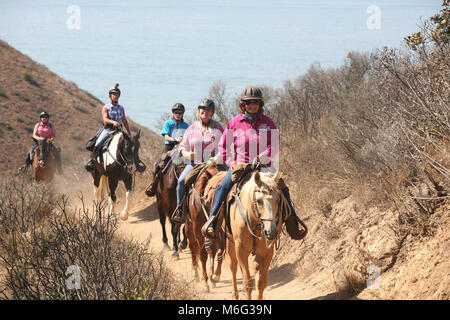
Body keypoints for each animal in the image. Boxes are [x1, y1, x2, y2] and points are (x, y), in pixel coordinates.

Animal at [227, 170, 286, 300]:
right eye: (259, 201)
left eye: (278, 200)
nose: (271, 232)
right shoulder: (241, 251)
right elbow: (248, 283)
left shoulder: (267, 252)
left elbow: (261, 283)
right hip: (230, 244)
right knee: (233, 267)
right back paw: (234, 295)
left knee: (255, 266)